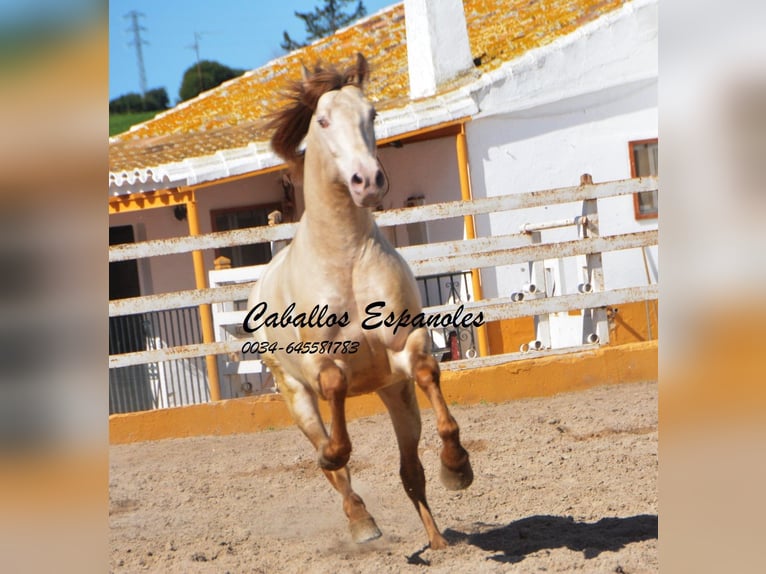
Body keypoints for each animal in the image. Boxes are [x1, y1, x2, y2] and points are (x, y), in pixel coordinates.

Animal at [246, 55, 474, 552]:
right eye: (323, 121)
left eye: (372, 114)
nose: (368, 180)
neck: (346, 258)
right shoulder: (320, 362)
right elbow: (335, 403)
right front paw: (333, 455)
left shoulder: (404, 351)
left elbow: (429, 376)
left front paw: (457, 467)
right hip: (294, 395)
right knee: (338, 471)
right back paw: (361, 520)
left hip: (393, 393)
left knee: (410, 471)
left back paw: (437, 540)